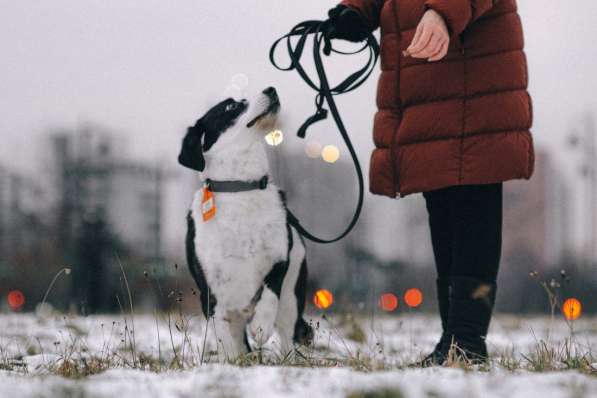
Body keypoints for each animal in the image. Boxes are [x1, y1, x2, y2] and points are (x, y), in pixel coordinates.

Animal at [178, 87, 312, 360]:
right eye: (230, 107)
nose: (271, 89)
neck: (240, 187)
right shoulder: (211, 293)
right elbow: (223, 338)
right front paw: (231, 360)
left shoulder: (280, 258)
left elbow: (270, 294)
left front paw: (261, 328)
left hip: (292, 297)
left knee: (287, 334)